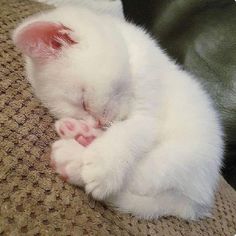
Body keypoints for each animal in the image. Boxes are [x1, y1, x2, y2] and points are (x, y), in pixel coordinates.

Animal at [12, 3, 223, 220]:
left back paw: (72, 159)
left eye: (83, 102)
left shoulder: (149, 108)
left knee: (143, 176)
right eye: (80, 109)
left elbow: (129, 132)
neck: (131, 54)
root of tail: (196, 203)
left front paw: (103, 165)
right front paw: (87, 129)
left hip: (179, 157)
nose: (98, 122)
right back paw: (81, 135)